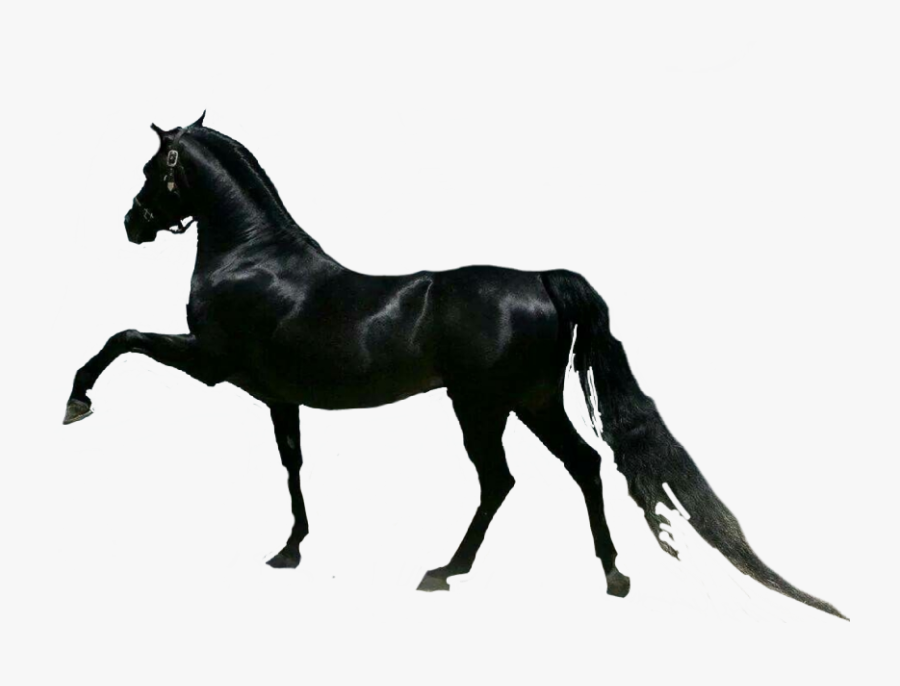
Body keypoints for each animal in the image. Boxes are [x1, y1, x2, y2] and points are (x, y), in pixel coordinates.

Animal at [63, 113, 846, 619]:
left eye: (153, 170)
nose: (131, 224)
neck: (252, 256)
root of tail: (542, 280)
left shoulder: (213, 364)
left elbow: (122, 338)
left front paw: (77, 402)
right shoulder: (278, 396)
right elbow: (291, 463)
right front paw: (291, 549)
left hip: (481, 405)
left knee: (501, 481)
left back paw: (444, 572)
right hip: (532, 402)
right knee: (583, 464)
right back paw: (613, 575)